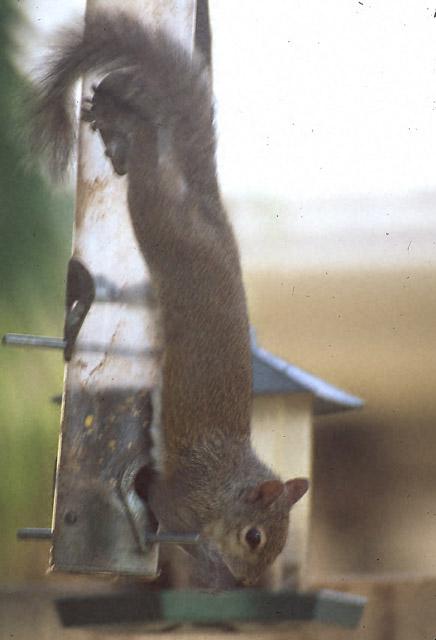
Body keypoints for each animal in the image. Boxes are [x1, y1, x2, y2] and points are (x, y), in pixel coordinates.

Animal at [30, 10, 308, 588]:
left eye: (279, 544)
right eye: (255, 537)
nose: (246, 583)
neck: (224, 486)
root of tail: (208, 203)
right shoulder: (182, 501)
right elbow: (169, 517)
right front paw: (212, 571)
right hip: (162, 224)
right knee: (147, 180)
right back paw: (127, 123)